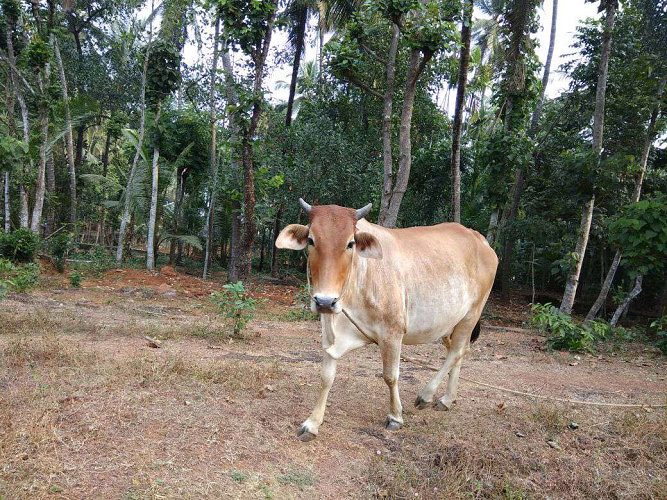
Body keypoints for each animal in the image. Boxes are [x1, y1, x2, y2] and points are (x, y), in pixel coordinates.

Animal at [275, 199, 498, 441]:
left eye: (350, 243)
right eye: (311, 240)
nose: (325, 301)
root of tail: (479, 239)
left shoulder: (393, 333)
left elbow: (390, 376)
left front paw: (395, 416)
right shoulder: (330, 335)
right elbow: (326, 376)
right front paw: (312, 423)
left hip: (471, 314)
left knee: (457, 351)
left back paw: (427, 395)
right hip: (449, 323)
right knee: (460, 351)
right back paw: (448, 399)